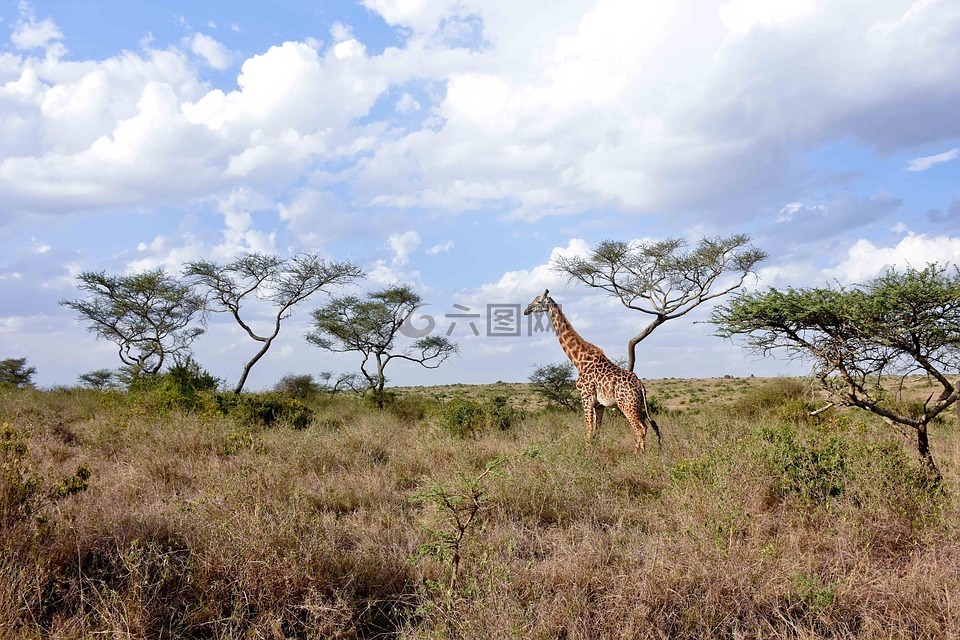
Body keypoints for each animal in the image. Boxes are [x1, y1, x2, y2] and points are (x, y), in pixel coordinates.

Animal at [524, 290, 660, 456]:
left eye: (538, 301)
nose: (526, 310)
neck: (578, 360)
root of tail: (640, 386)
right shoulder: (599, 404)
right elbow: (597, 432)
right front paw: (595, 453)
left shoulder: (586, 396)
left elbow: (588, 430)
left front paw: (587, 457)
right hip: (637, 405)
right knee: (645, 426)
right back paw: (642, 454)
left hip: (626, 404)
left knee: (640, 428)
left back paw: (637, 456)